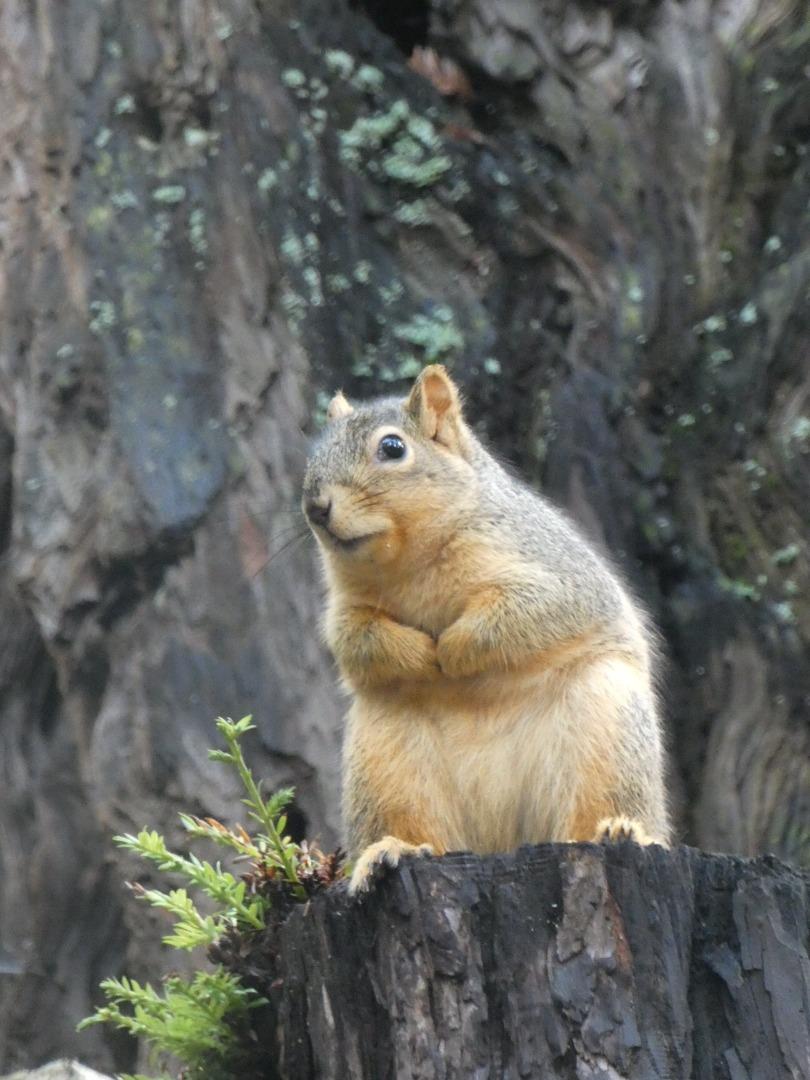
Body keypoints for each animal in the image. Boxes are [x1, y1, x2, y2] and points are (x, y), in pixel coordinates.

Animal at [304, 367, 673, 889]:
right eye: (315, 452)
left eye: (393, 448)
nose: (316, 507)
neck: (409, 563)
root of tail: (498, 841)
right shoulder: (347, 610)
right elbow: (357, 643)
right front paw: (421, 656)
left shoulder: (553, 572)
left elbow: (525, 613)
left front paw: (451, 650)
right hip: (386, 761)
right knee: (417, 828)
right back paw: (389, 850)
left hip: (607, 723)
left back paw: (622, 831)